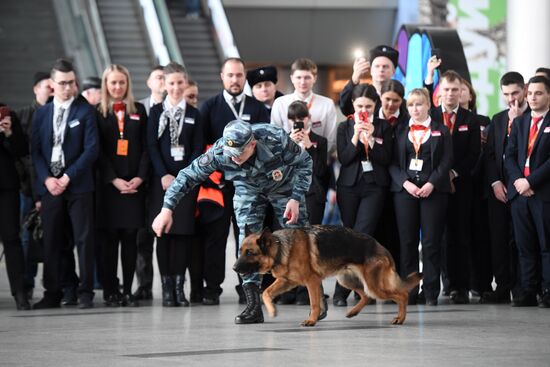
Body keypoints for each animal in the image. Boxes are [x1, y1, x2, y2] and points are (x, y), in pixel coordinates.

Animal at [234, 226, 422, 326]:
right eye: (240, 251)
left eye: (250, 253)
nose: (234, 268)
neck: (279, 248)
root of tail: (380, 246)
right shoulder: (286, 281)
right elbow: (266, 293)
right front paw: (272, 310)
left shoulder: (311, 282)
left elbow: (315, 303)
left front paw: (311, 320)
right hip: (347, 281)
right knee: (366, 296)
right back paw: (353, 312)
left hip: (374, 286)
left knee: (401, 295)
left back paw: (400, 318)